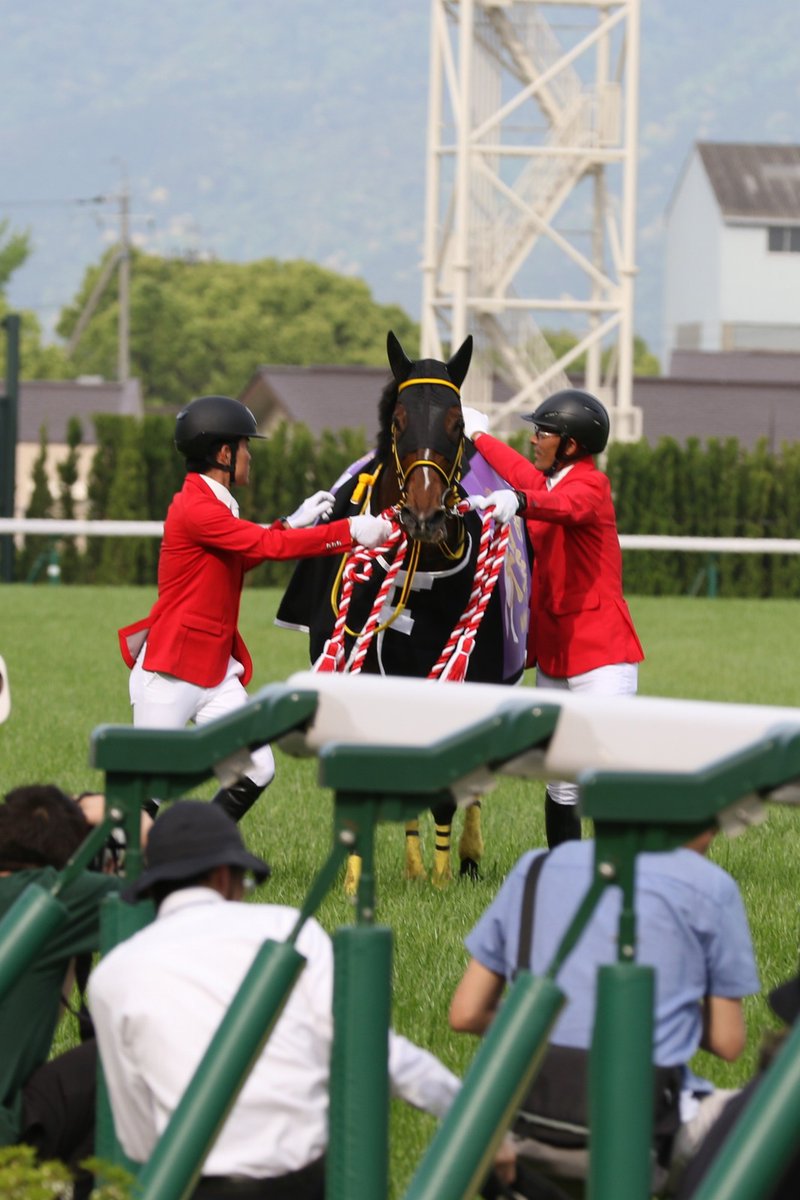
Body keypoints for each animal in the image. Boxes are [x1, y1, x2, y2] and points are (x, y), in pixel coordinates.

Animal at [275, 333, 532, 888]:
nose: (424, 514)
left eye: (456, 423)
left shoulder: (464, 673)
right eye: (398, 420)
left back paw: (464, 858)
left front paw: (442, 874)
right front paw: (356, 877)